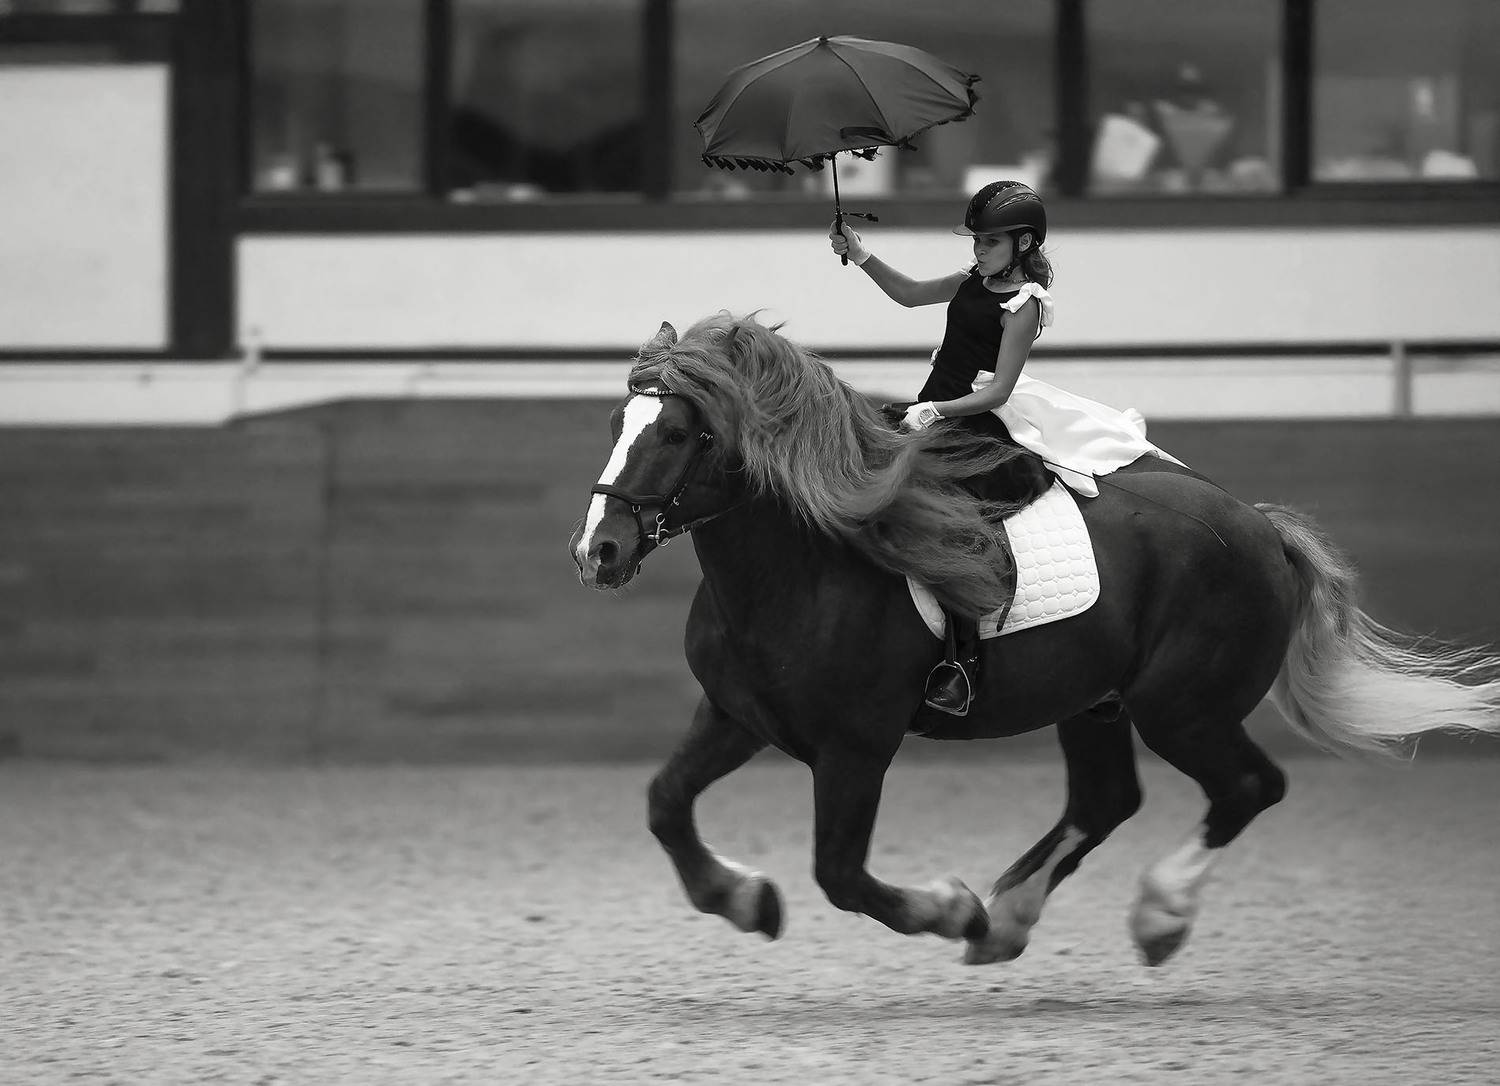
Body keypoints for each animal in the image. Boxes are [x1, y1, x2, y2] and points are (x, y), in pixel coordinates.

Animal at [568, 313, 1500, 967]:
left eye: (680, 433)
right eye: (616, 422)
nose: (598, 551)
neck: (798, 573)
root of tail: (1262, 528)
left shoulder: (855, 746)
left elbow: (839, 871)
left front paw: (947, 908)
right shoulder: (736, 716)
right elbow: (665, 804)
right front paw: (744, 900)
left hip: (1182, 709)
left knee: (1247, 787)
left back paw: (1153, 916)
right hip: (1096, 703)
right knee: (1106, 801)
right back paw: (1009, 921)